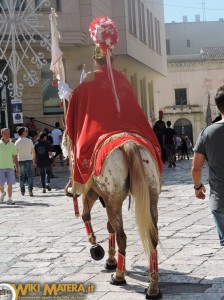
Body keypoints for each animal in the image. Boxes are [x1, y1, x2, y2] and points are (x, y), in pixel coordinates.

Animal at [64, 135, 162, 298]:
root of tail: (129, 145)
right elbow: (110, 226)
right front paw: (111, 259)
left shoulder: (91, 192)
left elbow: (85, 216)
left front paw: (96, 247)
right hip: (151, 197)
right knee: (152, 237)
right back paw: (153, 286)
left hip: (112, 201)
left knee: (122, 237)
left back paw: (119, 276)